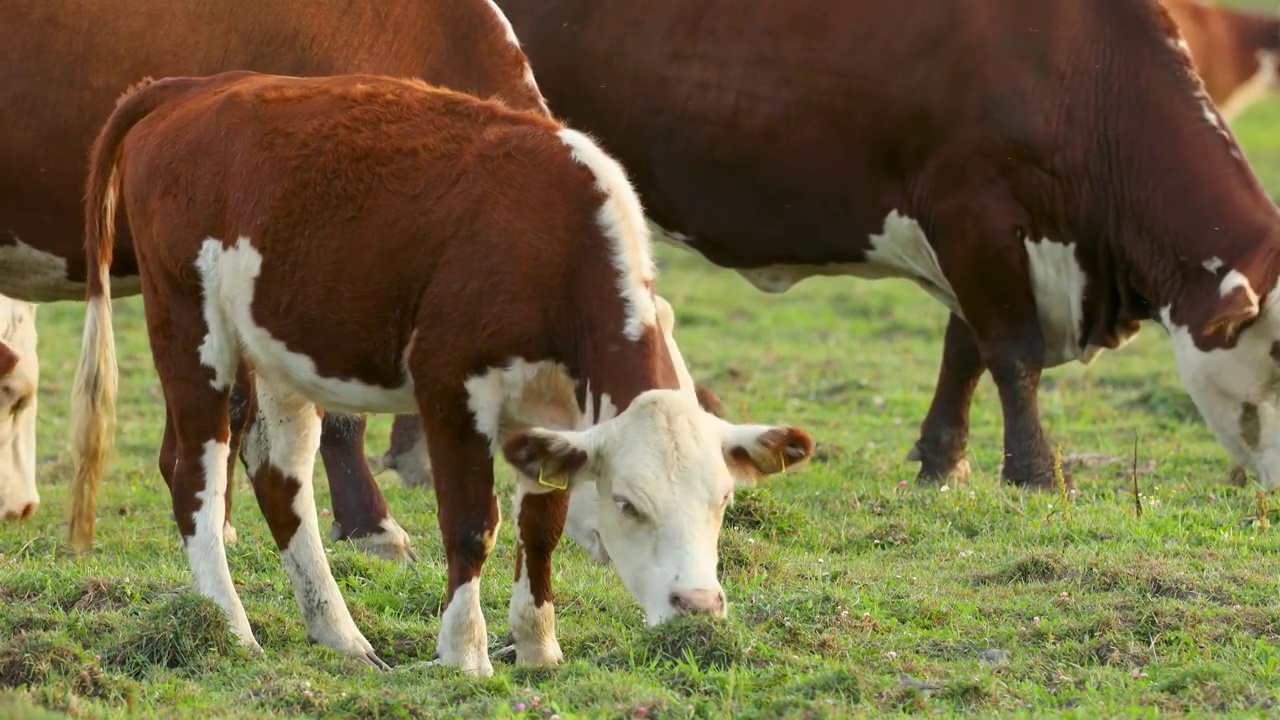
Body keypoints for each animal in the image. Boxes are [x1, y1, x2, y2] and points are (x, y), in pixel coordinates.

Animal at [70, 73, 808, 671]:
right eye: (628, 502)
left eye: (724, 500)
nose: (699, 605)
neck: (551, 244)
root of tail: (190, 88)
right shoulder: (451, 385)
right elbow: (471, 522)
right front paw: (465, 653)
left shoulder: (552, 416)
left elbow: (541, 524)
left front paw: (538, 648)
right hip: (189, 325)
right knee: (194, 469)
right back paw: (230, 628)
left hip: (278, 352)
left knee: (280, 479)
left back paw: (340, 635)